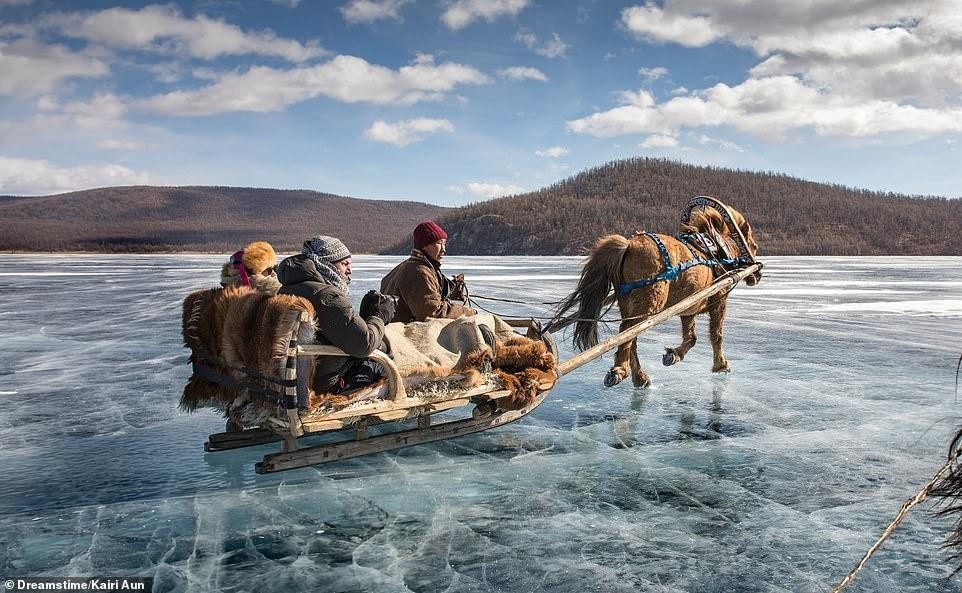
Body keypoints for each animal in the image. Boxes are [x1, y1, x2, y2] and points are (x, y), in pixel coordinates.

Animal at [552, 195, 760, 388]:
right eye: (755, 246)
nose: (757, 275)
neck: (719, 251)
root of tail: (629, 245)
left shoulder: (688, 307)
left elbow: (691, 337)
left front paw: (673, 355)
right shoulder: (719, 299)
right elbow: (717, 335)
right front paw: (721, 365)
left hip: (629, 303)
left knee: (631, 336)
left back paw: (639, 377)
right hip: (650, 302)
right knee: (627, 332)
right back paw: (620, 370)